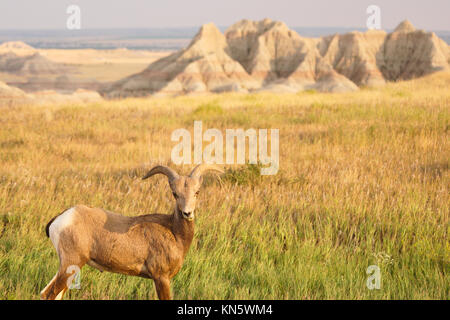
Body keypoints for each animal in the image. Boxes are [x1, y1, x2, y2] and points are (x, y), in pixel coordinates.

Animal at [39, 165, 222, 300]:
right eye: (175, 194)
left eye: (197, 192)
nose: (187, 213)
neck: (173, 232)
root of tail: (60, 218)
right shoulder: (161, 278)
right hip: (71, 264)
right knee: (49, 294)